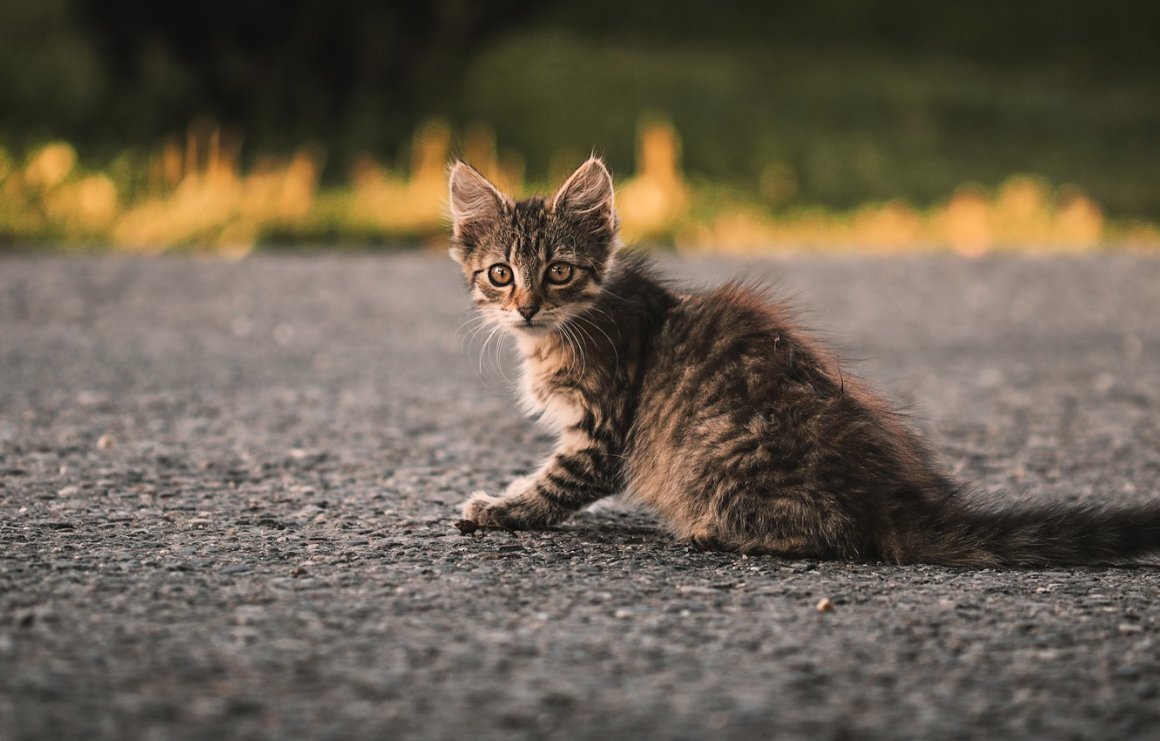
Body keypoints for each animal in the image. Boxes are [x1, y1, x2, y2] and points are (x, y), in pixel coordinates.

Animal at [445, 153, 1160, 565]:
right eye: (502, 274)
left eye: (560, 272)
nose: (527, 307)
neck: (561, 329)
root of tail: (889, 497)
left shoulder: (603, 430)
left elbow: (554, 484)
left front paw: (499, 509)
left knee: (837, 535)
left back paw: (716, 532)